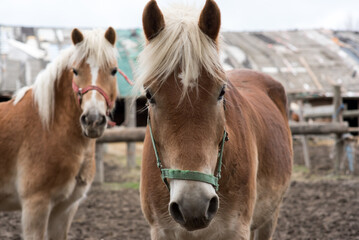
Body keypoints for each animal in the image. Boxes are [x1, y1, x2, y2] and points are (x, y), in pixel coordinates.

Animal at [0, 27, 119, 239]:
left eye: (113, 71)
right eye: (75, 71)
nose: (93, 120)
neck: (49, 128)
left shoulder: (64, 210)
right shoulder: (35, 206)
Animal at [138, 0, 292, 240]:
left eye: (221, 91)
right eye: (149, 95)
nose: (193, 204)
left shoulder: (237, 230)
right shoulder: (161, 231)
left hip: (270, 217)